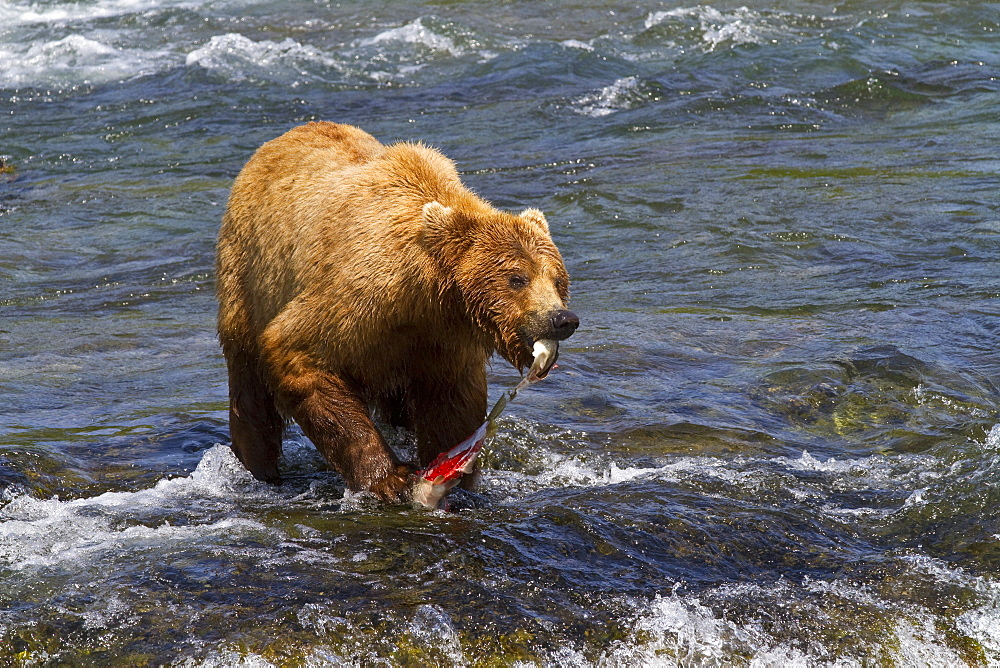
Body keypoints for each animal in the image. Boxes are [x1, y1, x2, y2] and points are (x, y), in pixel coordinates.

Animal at [219, 122, 580, 504]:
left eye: (558, 279)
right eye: (517, 278)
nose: (562, 319)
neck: (427, 294)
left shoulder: (441, 341)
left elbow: (452, 405)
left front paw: (456, 476)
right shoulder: (354, 299)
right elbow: (299, 352)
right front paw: (391, 478)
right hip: (248, 278)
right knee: (249, 385)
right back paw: (258, 466)